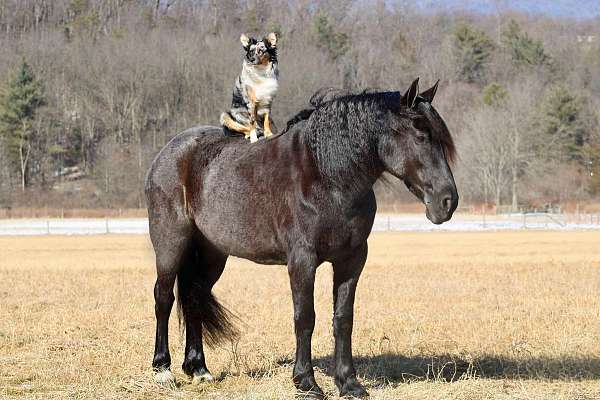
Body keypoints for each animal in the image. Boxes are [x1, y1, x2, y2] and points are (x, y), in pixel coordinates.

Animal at [145, 77, 460, 396]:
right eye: (420, 135)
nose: (448, 201)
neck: (326, 177)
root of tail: (167, 153)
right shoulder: (302, 260)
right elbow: (305, 317)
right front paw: (307, 382)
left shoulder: (352, 260)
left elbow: (343, 319)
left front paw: (349, 383)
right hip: (171, 244)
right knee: (164, 297)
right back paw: (162, 370)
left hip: (212, 253)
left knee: (194, 295)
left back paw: (199, 369)